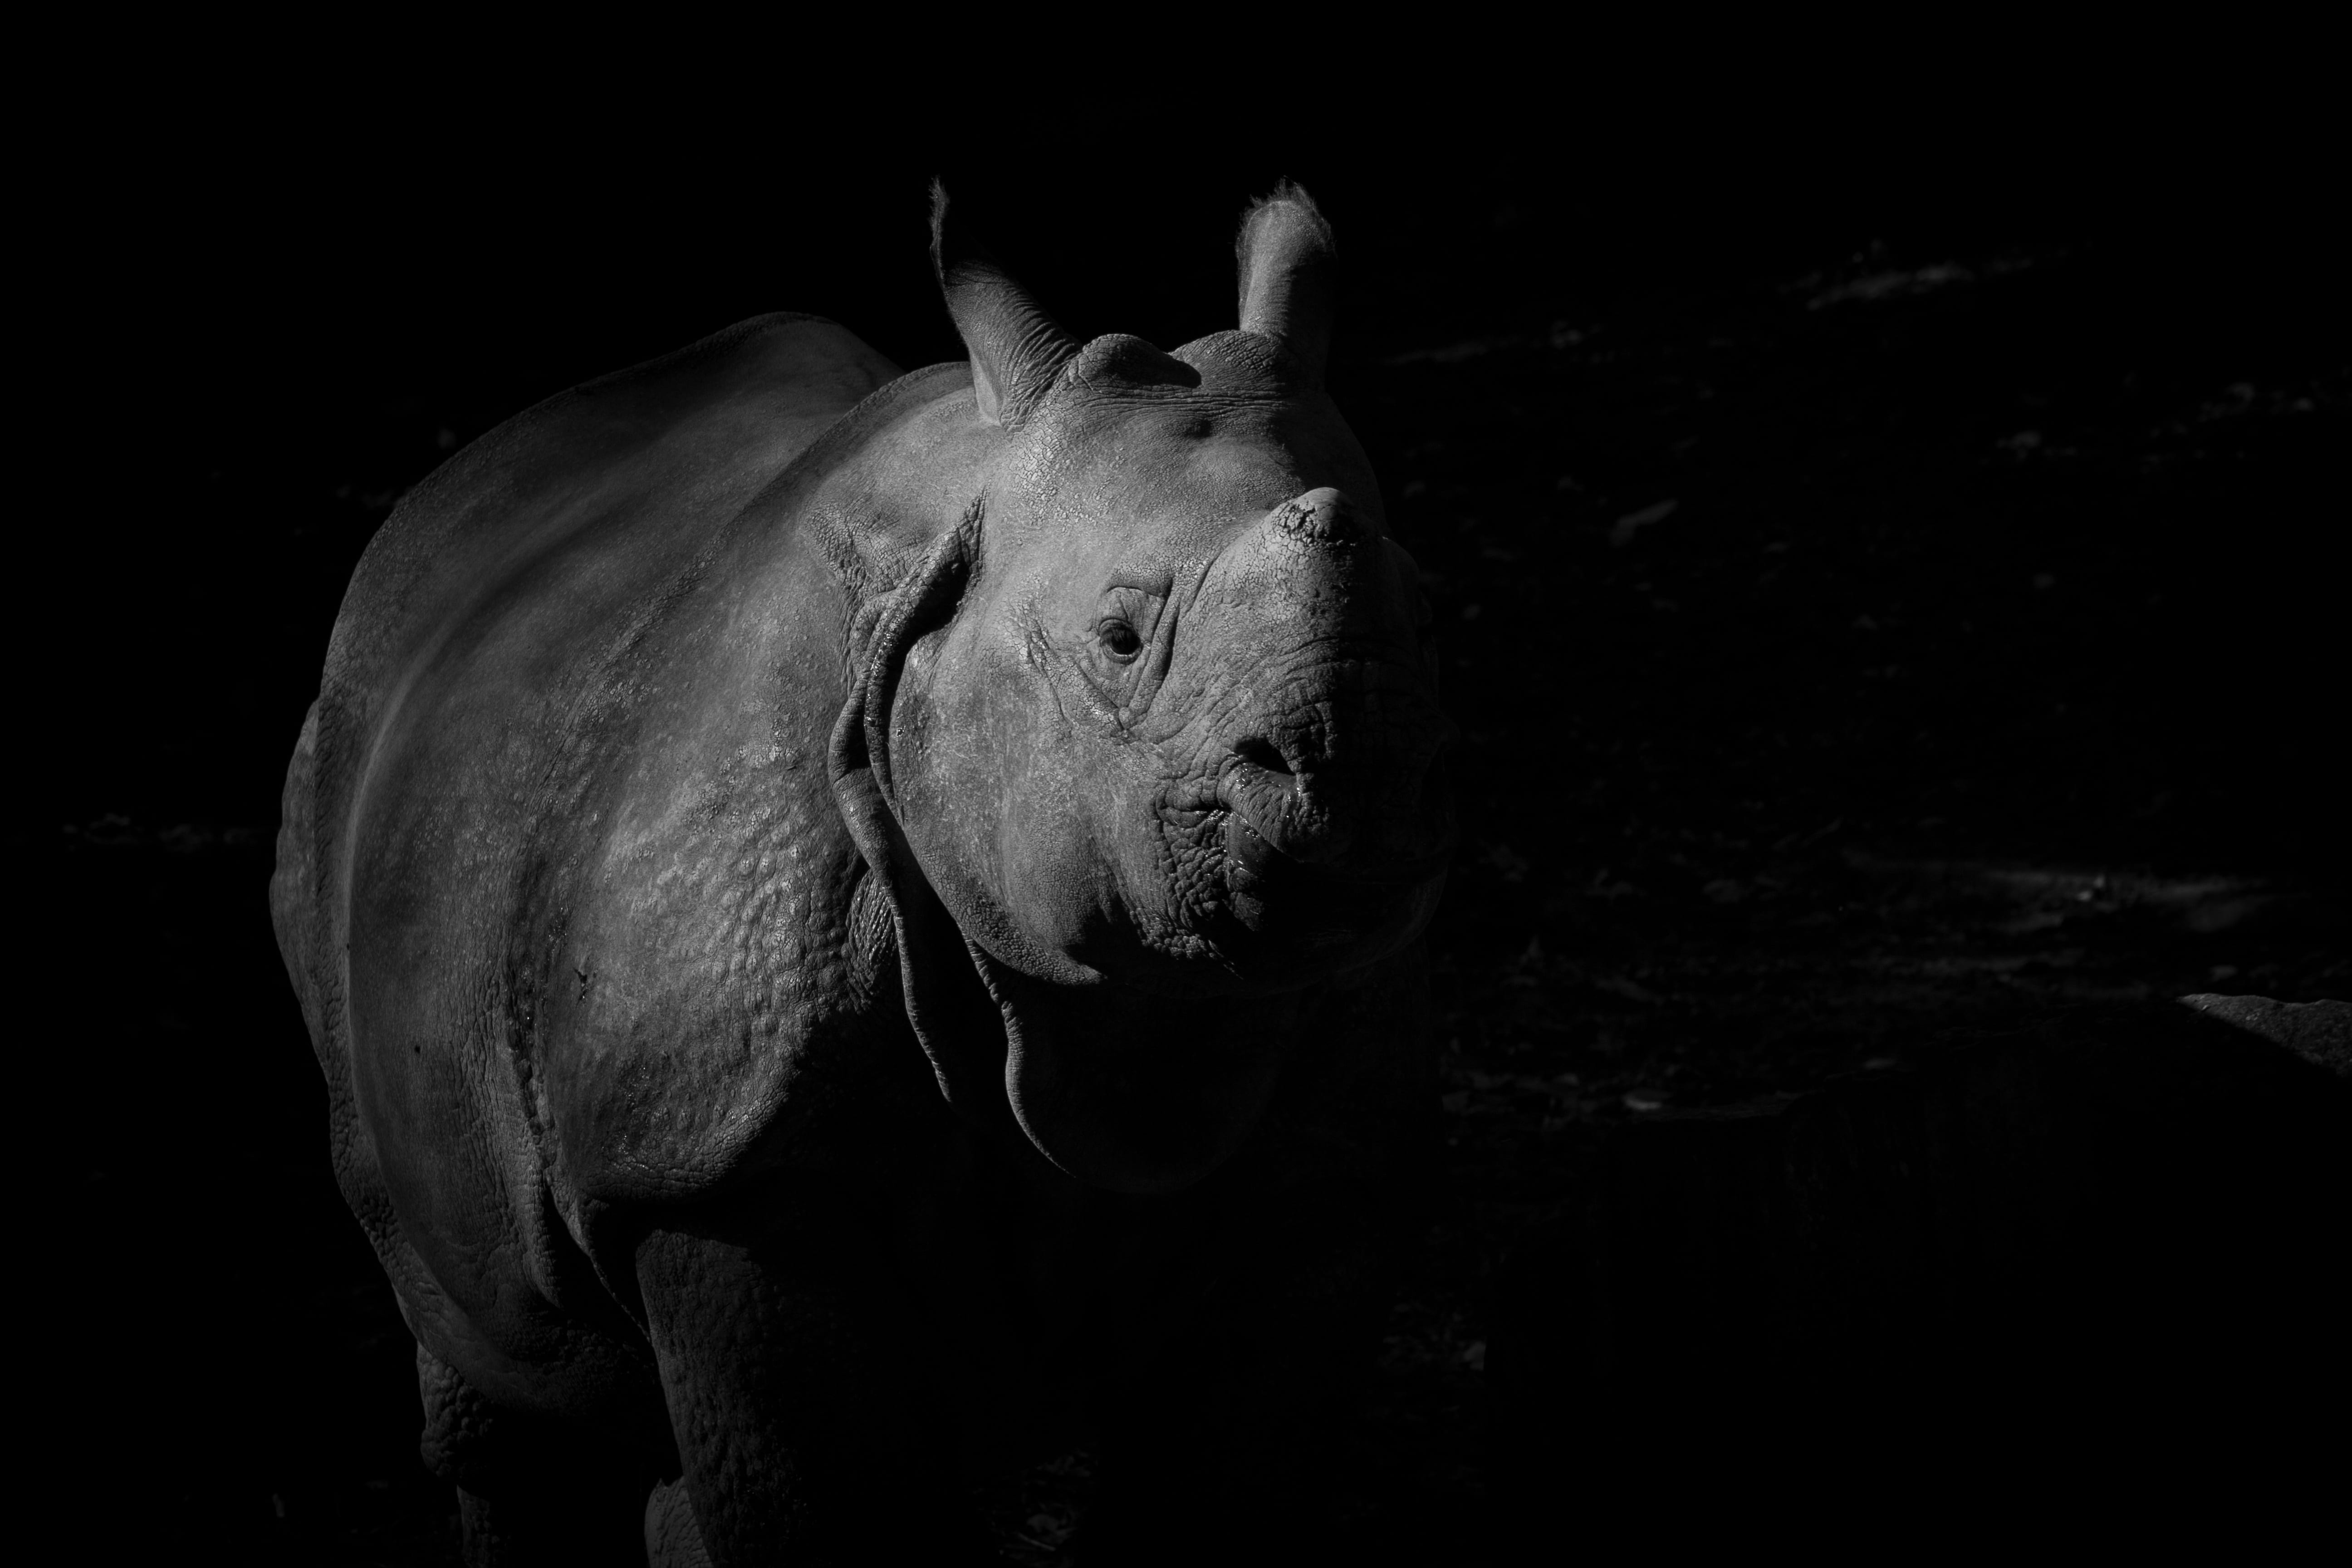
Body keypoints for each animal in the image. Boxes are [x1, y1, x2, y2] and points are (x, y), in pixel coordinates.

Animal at [271, 183, 1454, 1565]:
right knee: (502, 1377)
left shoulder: (1326, 1168)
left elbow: (1228, 1489)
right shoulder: (726, 1171)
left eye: (1426, 618)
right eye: (1118, 639)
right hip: (349, 772)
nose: (1339, 767)